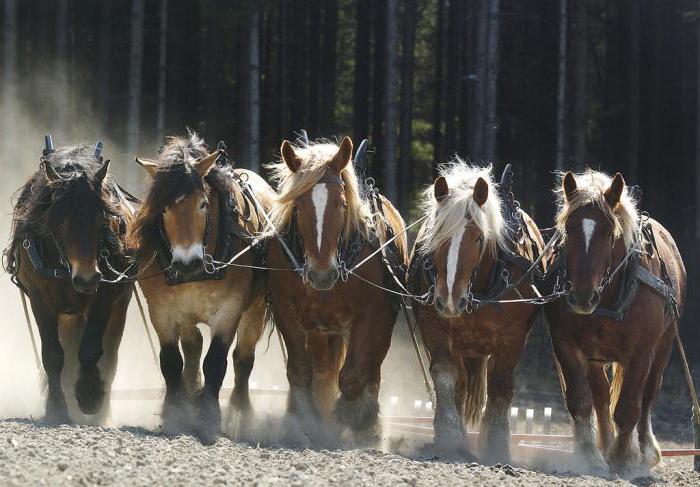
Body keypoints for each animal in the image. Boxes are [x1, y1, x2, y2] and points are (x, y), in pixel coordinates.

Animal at [4, 136, 135, 424]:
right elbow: (53, 355)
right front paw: (56, 408)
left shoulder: (103, 296)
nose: (86, 277)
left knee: (109, 354)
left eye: (101, 219)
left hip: (119, 304)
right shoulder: (41, 300)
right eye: (59, 221)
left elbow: (90, 349)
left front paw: (89, 396)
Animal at [129, 133, 274, 446]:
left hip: (255, 309)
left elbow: (216, 362)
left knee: (243, 359)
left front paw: (209, 418)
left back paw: (239, 412)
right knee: (192, 346)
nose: (188, 263)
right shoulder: (162, 310)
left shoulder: (230, 309)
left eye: (203, 204)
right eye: (164, 208)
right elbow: (171, 361)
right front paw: (175, 412)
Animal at [262, 137, 408, 442]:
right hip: (322, 332)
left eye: (342, 204)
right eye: (298, 206)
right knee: (324, 371)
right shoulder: (286, 310)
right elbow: (301, 370)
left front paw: (354, 422)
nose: (321, 273)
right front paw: (304, 418)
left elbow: (353, 376)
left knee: (371, 371)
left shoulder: (370, 316)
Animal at [408, 162, 544, 464]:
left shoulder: (512, 336)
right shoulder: (432, 321)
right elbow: (445, 374)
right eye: (437, 234)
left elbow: (500, 385)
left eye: (479, 238)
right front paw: (449, 435)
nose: (449, 299)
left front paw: (496, 444)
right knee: (459, 381)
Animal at [544, 170, 688, 474]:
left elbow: (629, 407)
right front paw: (590, 455)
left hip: (664, 345)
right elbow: (580, 400)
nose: (582, 297)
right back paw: (605, 443)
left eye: (610, 233)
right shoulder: (565, 344)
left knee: (648, 395)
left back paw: (645, 450)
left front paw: (623, 457)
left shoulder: (641, 353)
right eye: (568, 230)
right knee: (600, 396)